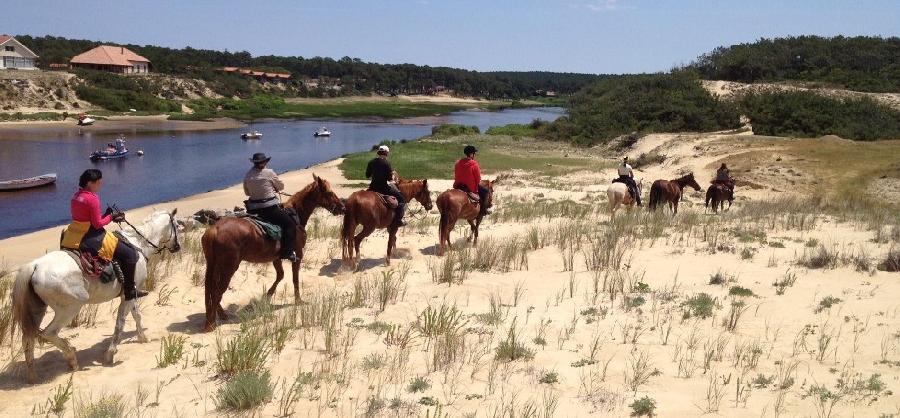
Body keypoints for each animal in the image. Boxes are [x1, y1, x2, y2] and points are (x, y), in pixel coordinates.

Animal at [11, 209, 181, 382]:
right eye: (176, 225)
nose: (177, 247)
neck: (138, 244)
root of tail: (35, 265)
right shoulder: (128, 295)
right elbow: (121, 323)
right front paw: (110, 354)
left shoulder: (131, 292)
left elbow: (136, 316)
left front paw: (143, 338)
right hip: (69, 309)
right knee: (48, 333)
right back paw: (71, 358)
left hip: (37, 309)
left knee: (28, 339)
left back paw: (33, 376)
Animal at [201, 175, 344, 332]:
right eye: (328, 193)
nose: (342, 208)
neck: (295, 216)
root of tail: (214, 229)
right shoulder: (297, 255)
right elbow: (294, 279)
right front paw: (298, 300)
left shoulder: (277, 258)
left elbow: (280, 275)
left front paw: (268, 294)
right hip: (229, 267)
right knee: (217, 291)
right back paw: (210, 323)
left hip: (216, 265)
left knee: (213, 289)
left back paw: (220, 315)